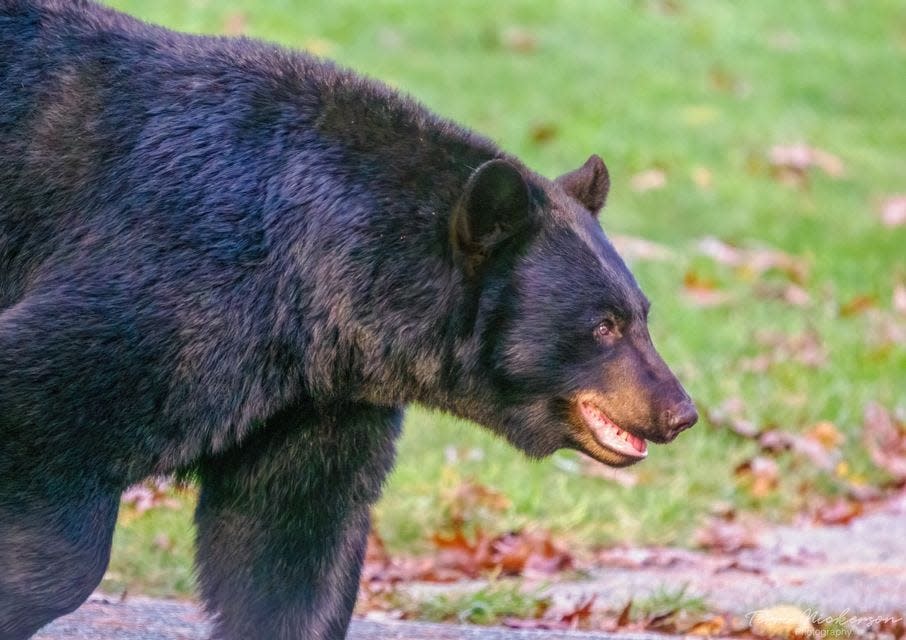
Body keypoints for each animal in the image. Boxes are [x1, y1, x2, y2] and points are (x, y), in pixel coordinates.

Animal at [0, 1, 696, 640]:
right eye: (602, 325)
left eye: (642, 314)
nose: (680, 411)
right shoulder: (181, 279)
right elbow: (49, 401)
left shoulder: (319, 391)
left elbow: (292, 536)